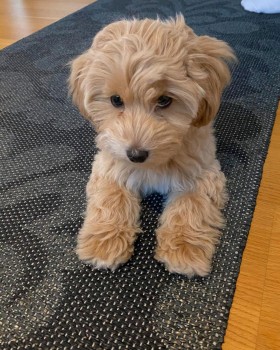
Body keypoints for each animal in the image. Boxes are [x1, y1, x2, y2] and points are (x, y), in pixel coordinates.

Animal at [69, 13, 235, 278]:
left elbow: (192, 204)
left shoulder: (204, 169)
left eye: (165, 100)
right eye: (116, 100)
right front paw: (104, 242)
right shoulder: (110, 158)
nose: (136, 154)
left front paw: (184, 248)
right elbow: (110, 195)